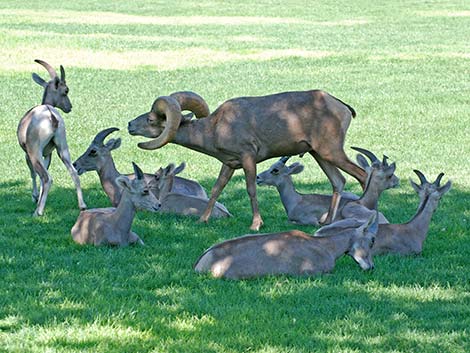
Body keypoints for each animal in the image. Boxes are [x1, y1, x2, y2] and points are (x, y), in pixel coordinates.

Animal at [17, 59, 86, 216]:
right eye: (65, 91)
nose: (69, 107)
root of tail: (50, 114)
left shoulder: (28, 154)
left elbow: (33, 173)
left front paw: (35, 197)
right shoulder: (48, 153)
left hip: (34, 151)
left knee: (46, 177)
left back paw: (38, 212)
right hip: (62, 147)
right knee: (73, 172)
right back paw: (82, 205)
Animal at [129, 89, 368, 230]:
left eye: (150, 119)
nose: (130, 125)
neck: (215, 128)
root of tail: (343, 108)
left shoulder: (248, 158)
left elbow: (251, 189)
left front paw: (255, 225)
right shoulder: (229, 164)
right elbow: (216, 189)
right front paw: (202, 220)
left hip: (332, 152)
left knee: (363, 176)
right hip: (319, 154)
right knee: (338, 181)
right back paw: (326, 222)